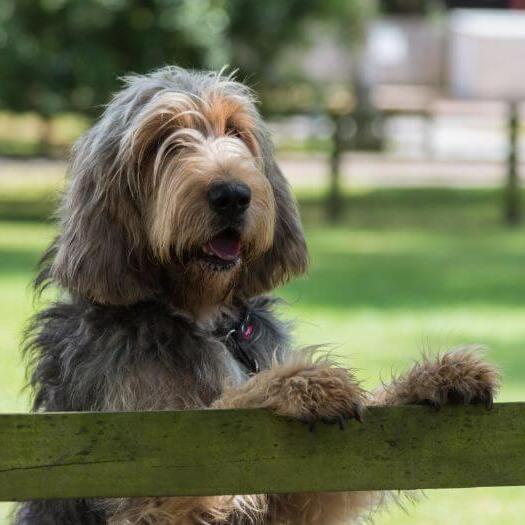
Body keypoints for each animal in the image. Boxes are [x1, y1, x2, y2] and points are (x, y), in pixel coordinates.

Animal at [15, 67, 500, 520]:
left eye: (235, 130)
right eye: (161, 140)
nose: (232, 194)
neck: (203, 316)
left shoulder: (291, 493)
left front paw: (436, 376)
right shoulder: (147, 463)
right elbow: (226, 405)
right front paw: (301, 383)